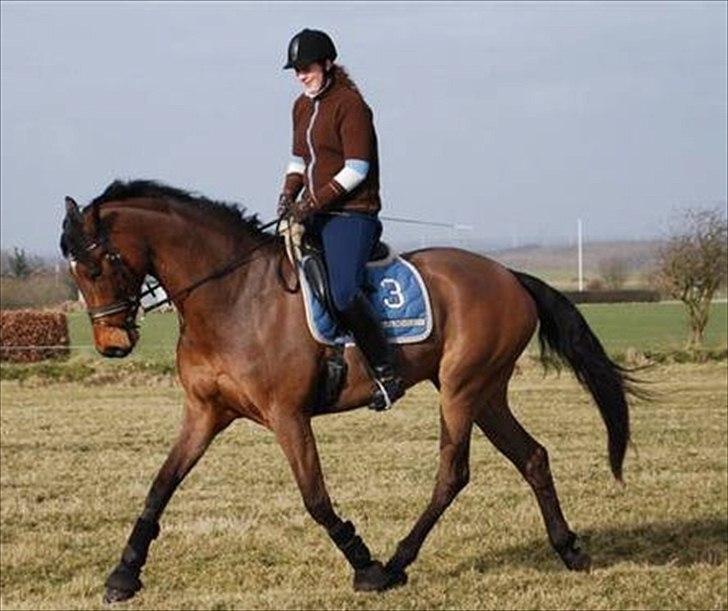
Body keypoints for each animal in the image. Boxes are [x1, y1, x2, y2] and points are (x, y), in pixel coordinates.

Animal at [59, 180, 636, 604]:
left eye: (96, 266)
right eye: (75, 273)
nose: (112, 345)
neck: (232, 298)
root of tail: (508, 275)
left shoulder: (288, 416)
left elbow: (315, 498)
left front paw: (364, 565)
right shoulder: (204, 412)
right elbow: (161, 485)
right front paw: (123, 574)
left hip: (461, 390)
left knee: (453, 473)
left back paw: (397, 562)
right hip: (487, 393)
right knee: (532, 456)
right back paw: (569, 550)